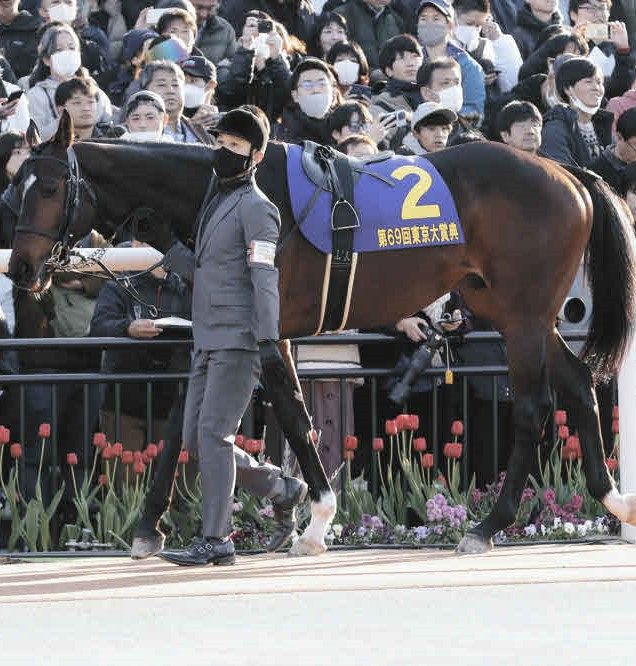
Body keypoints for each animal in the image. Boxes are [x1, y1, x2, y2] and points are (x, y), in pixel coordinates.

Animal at [7, 112, 636, 555]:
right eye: (15, 188)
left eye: (49, 189)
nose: (21, 268)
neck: (231, 189)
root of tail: (567, 174)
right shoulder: (228, 331)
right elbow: (185, 421)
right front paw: (148, 528)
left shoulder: (269, 327)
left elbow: (289, 411)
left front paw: (315, 520)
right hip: (512, 309)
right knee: (578, 383)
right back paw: (612, 500)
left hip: (524, 314)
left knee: (535, 406)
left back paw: (489, 525)